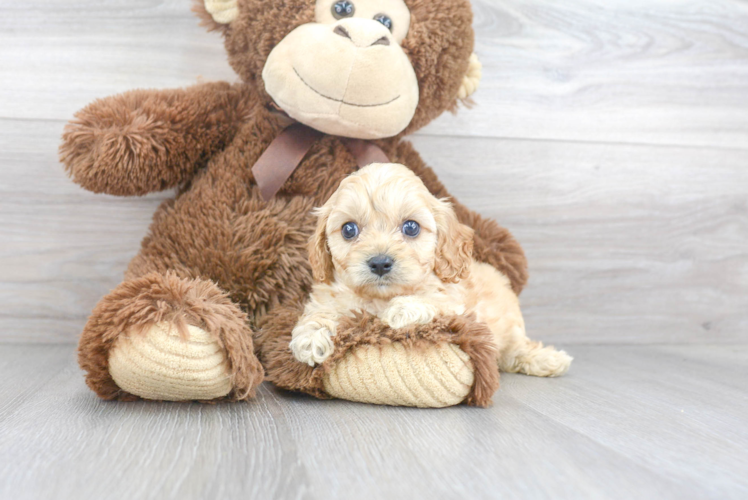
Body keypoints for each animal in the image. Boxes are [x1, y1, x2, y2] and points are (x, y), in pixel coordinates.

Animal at [292, 164, 572, 378]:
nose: (380, 263)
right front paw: (310, 338)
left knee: (517, 350)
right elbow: (320, 311)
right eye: (349, 229)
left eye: (411, 227)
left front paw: (401, 309)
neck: (379, 298)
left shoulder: (455, 305)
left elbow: (431, 300)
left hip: (510, 329)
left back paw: (549, 359)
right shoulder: (329, 296)